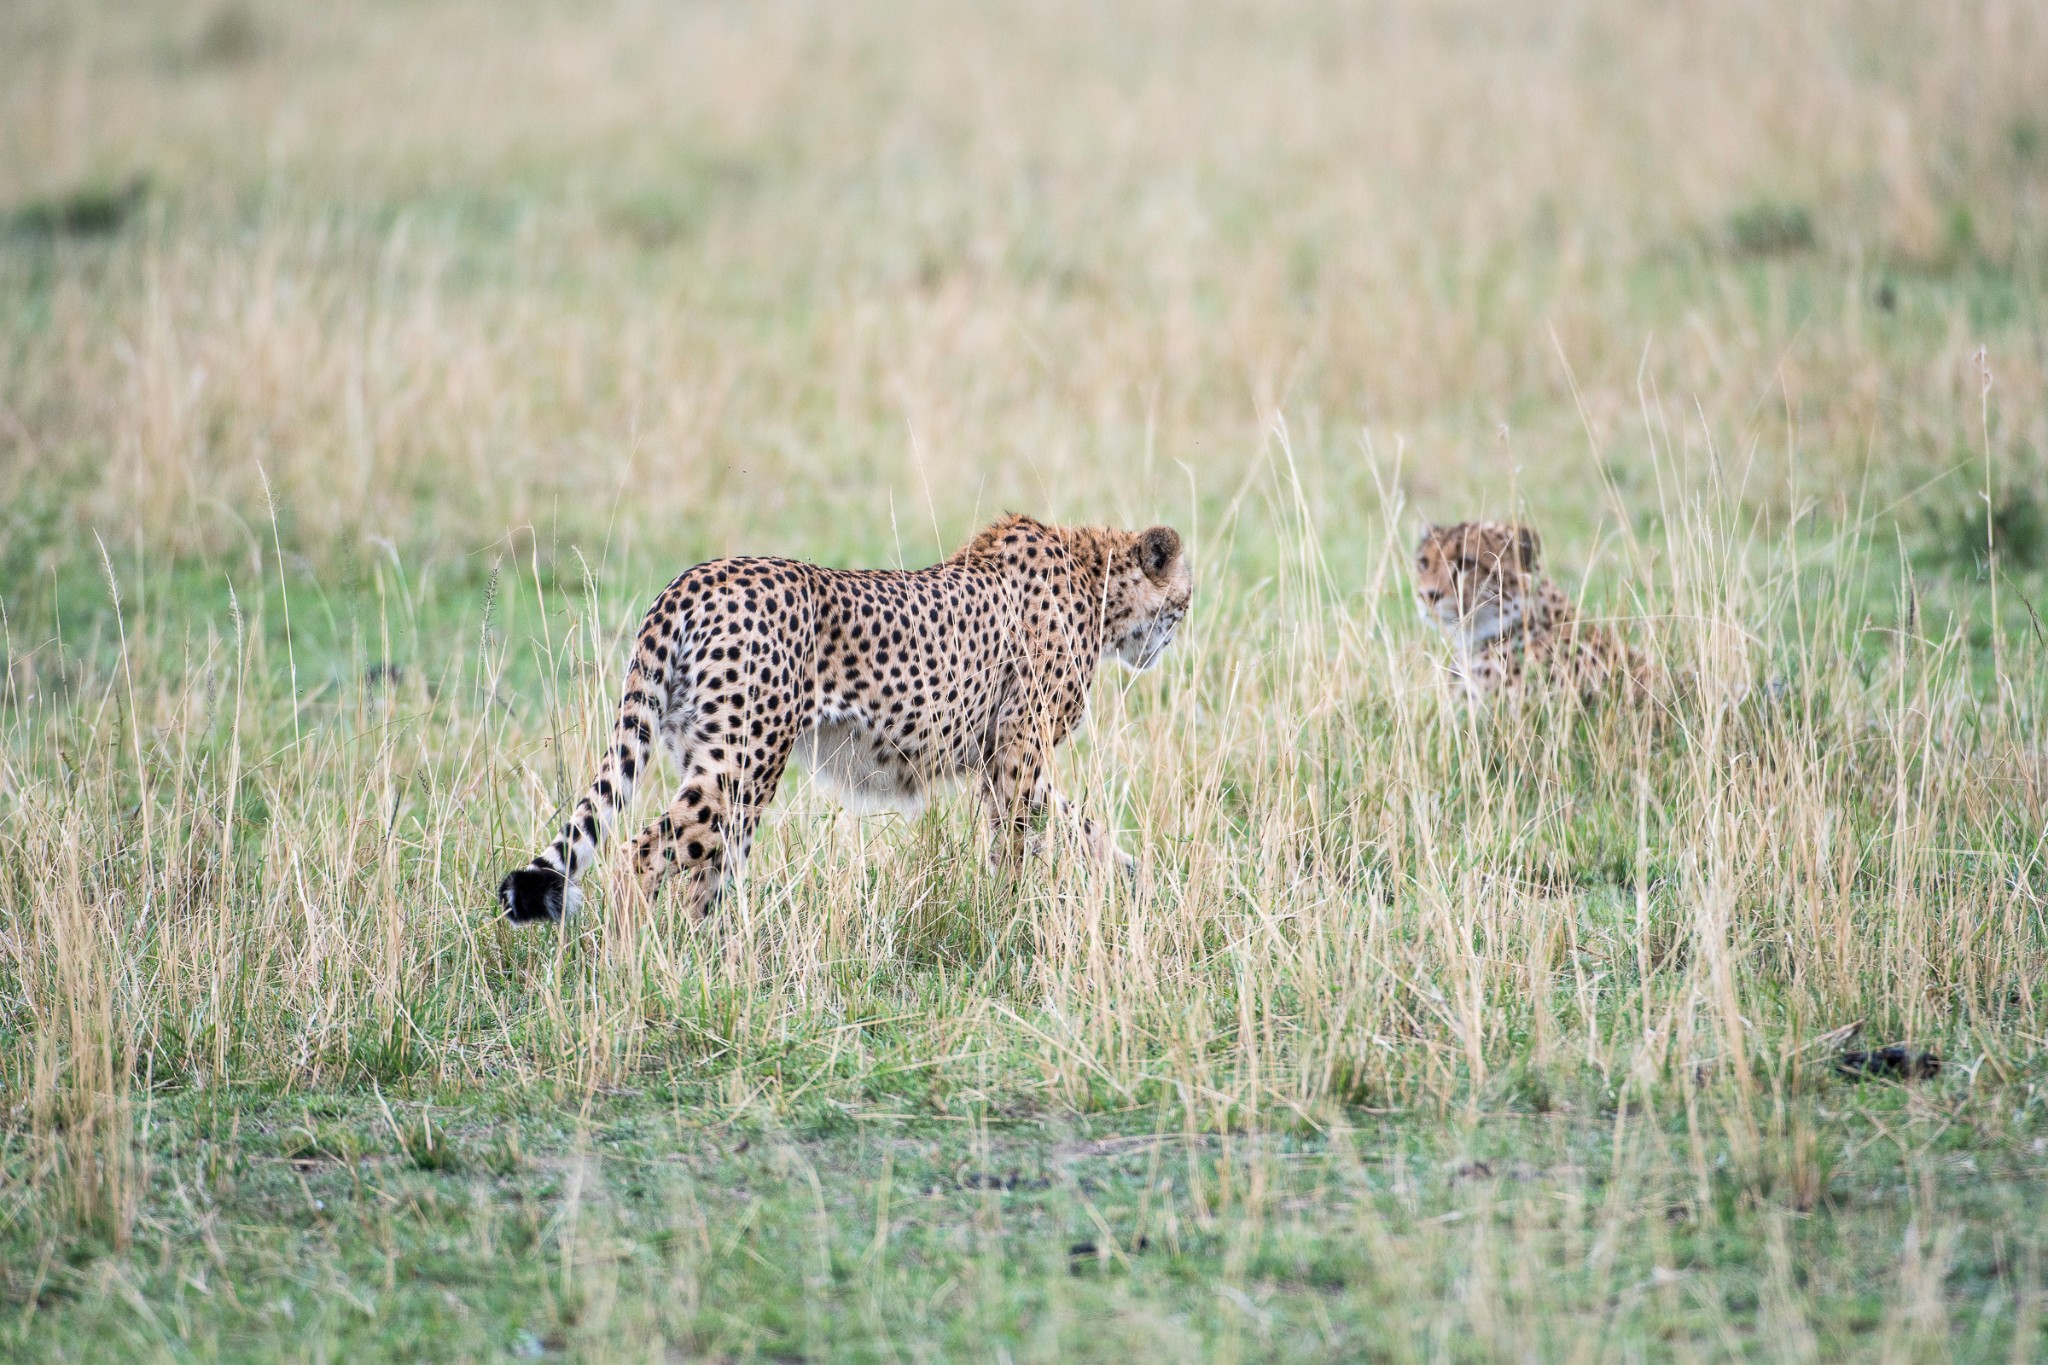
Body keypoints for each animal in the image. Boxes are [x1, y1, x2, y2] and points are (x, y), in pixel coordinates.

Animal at [497, 517, 1196, 925]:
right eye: (1184, 604)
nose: (1167, 646)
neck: (1096, 579)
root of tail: (695, 576)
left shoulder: (1004, 758)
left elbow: (1080, 825)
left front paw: (1135, 877)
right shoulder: (1018, 756)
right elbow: (1021, 843)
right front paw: (1009, 916)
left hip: (721, 764)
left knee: (706, 867)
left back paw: (713, 961)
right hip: (742, 763)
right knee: (644, 853)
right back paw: (638, 964)